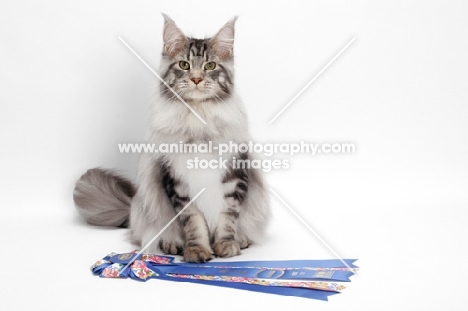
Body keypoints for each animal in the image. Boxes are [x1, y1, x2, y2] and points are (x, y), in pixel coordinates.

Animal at [73, 14, 270, 264]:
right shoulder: (178, 182)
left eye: (210, 66)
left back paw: (242, 240)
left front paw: (227, 245)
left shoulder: (234, 176)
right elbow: (193, 223)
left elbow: (228, 218)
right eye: (184, 65)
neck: (198, 118)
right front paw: (197, 250)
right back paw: (171, 243)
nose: (196, 79)